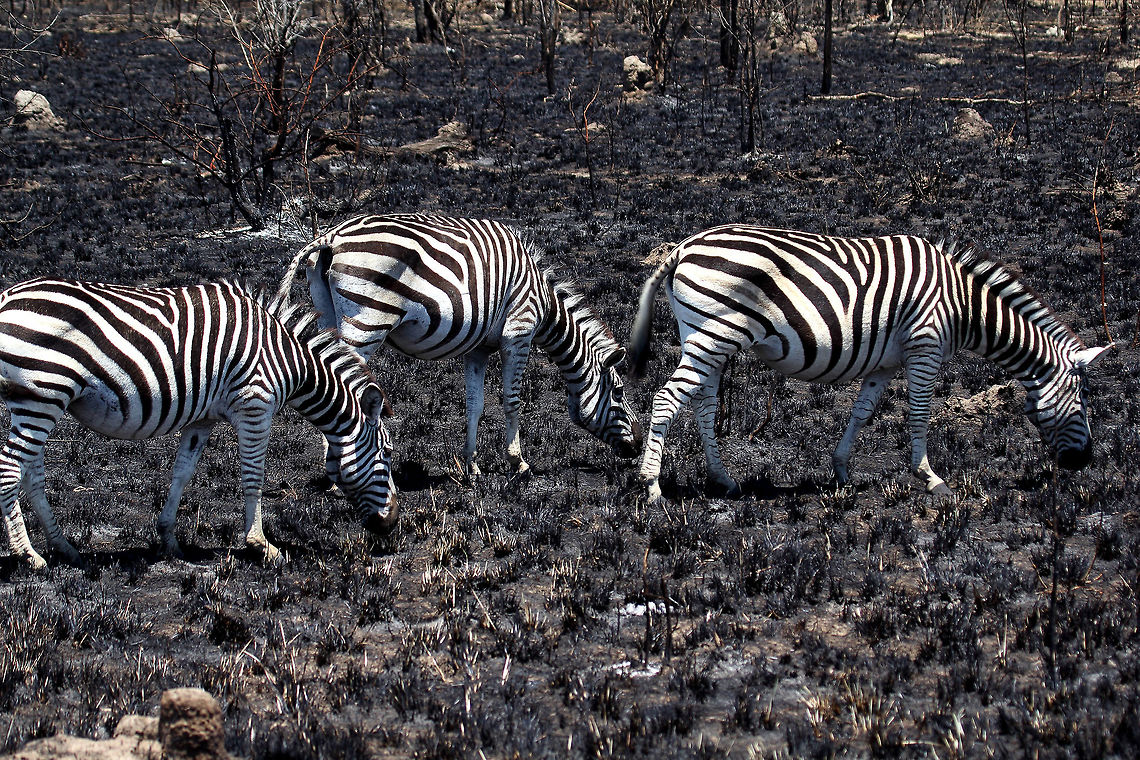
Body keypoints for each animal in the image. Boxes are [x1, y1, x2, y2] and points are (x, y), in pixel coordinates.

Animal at [0, 278, 397, 569]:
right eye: (388, 454)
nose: (392, 524)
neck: (289, 361)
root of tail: (7, 296)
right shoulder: (255, 405)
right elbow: (253, 475)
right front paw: (261, 546)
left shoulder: (202, 419)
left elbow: (183, 472)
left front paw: (168, 539)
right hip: (44, 394)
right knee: (10, 469)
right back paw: (29, 555)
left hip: (36, 401)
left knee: (31, 474)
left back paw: (63, 547)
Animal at [276, 213, 641, 477]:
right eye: (620, 392)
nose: (638, 446)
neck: (543, 301)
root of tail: (331, 236)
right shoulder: (518, 331)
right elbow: (512, 400)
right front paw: (519, 463)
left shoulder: (478, 349)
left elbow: (474, 405)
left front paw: (471, 465)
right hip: (367, 322)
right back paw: (342, 471)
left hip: (328, 314)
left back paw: (334, 466)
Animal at [628, 225, 1110, 503]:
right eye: (1084, 396)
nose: (1084, 462)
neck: (962, 305)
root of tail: (681, 249)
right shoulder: (925, 345)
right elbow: (919, 414)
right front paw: (930, 478)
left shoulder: (884, 362)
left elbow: (862, 413)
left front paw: (841, 469)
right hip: (715, 332)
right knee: (667, 398)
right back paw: (651, 486)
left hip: (702, 333)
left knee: (704, 404)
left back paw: (722, 478)